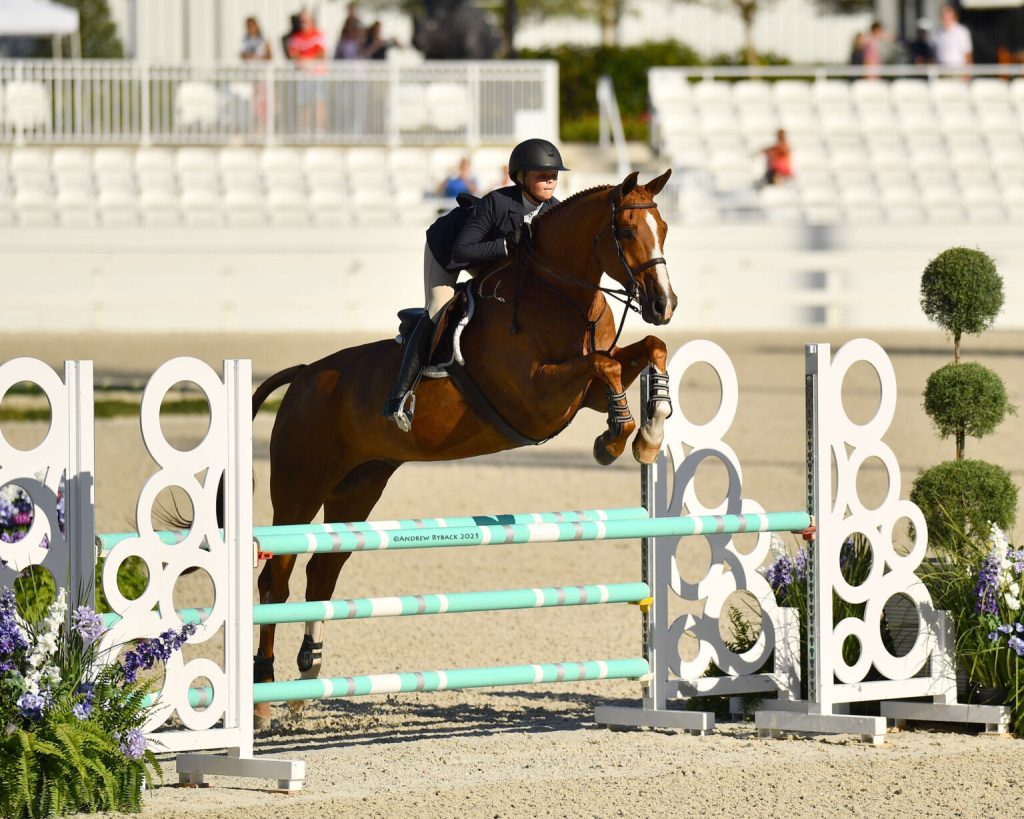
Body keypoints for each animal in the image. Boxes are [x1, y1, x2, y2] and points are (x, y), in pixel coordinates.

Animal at [249, 170, 678, 725]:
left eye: (662, 228)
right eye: (625, 231)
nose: (663, 305)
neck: (561, 294)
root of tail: (303, 376)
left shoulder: (580, 391)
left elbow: (647, 351)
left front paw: (649, 431)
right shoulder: (537, 396)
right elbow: (603, 365)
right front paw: (617, 437)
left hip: (358, 487)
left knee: (322, 572)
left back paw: (306, 679)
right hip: (301, 487)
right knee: (276, 579)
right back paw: (263, 696)